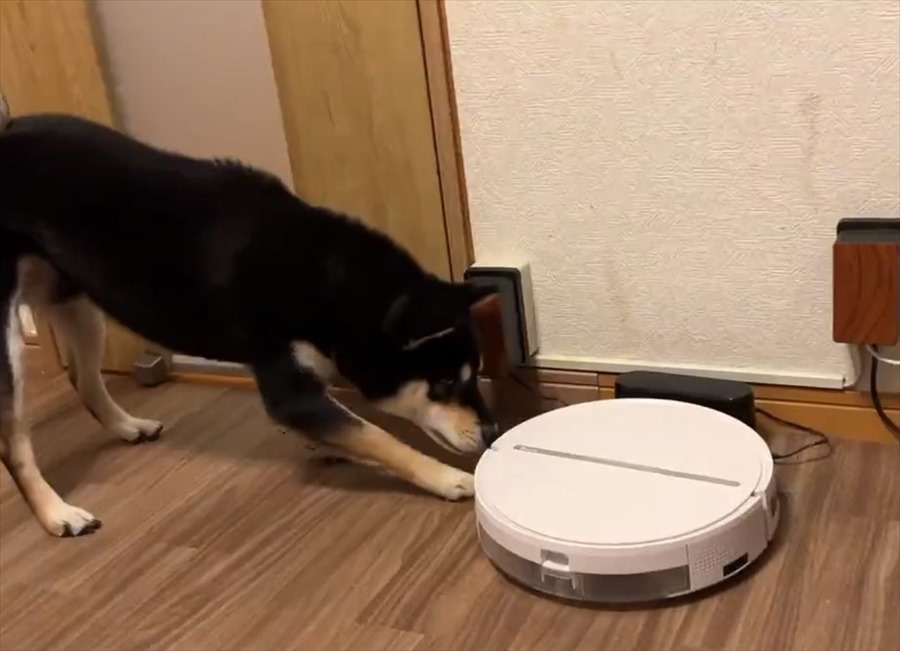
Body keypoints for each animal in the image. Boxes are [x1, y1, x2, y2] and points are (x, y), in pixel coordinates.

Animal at [0, 102, 500, 538]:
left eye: (474, 376)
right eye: (445, 385)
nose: (492, 432)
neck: (328, 281)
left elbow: (347, 426)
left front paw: (328, 446)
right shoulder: (287, 389)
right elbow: (377, 436)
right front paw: (447, 478)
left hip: (77, 304)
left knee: (83, 380)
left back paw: (128, 427)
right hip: (10, 345)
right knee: (14, 444)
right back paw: (57, 513)